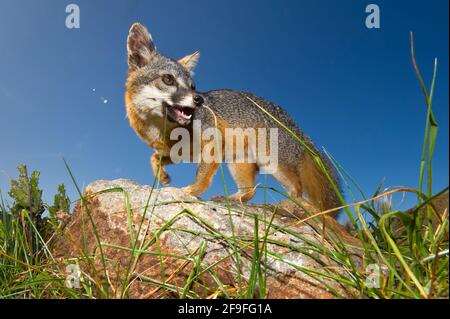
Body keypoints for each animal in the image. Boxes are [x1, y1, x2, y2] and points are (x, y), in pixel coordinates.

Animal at [124, 22, 342, 212]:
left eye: (193, 86)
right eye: (168, 79)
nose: (199, 99)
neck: (162, 130)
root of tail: (297, 127)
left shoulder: (211, 144)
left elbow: (202, 177)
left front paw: (190, 191)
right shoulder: (184, 152)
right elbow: (154, 158)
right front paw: (162, 177)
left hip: (273, 164)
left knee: (296, 189)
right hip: (238, 164)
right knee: (251, 190)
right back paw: (234, 199)